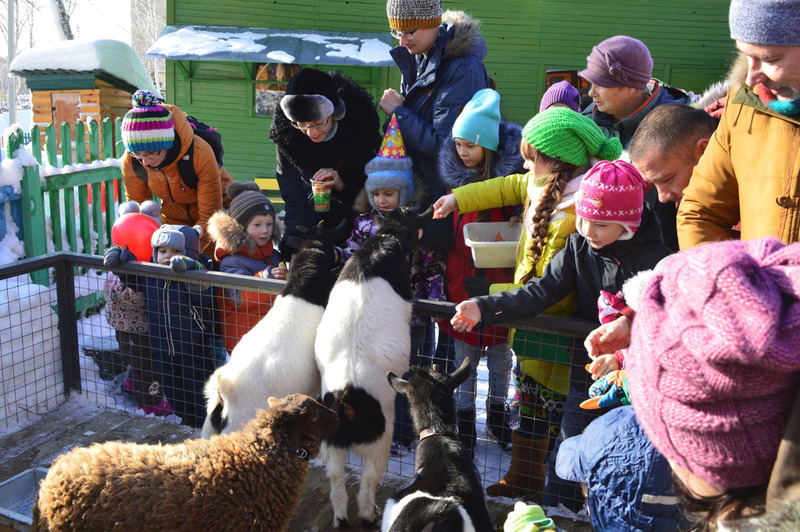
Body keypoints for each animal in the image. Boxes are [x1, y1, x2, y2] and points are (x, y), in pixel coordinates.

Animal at [314, 207, 438, 528]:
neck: (387, 237)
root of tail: (346, 394)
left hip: (331, 439)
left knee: (336, 478)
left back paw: (341, 519)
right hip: (379, 437)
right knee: (369, 480)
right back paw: (369, 517)